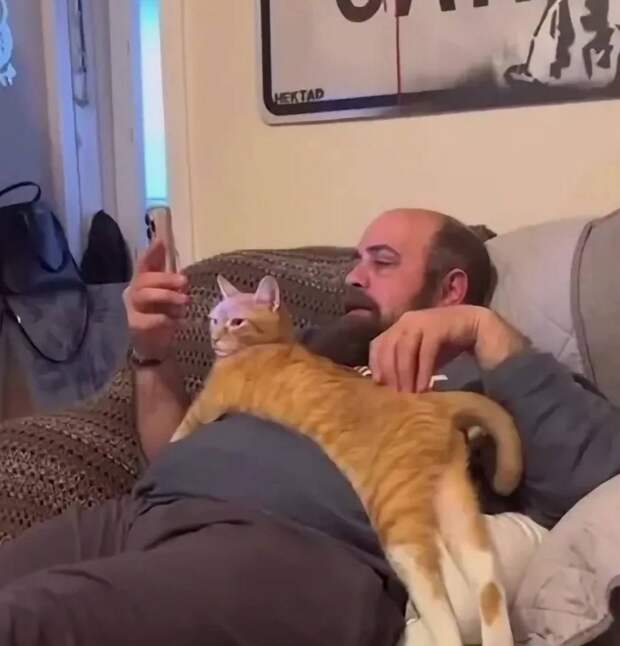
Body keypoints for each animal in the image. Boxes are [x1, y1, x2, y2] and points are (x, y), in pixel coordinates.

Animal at [171, 274, 521, 646]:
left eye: (236, 322)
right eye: (213, 319)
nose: (215, 337)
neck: (273, 344)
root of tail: (431, 402)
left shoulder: (204, 408)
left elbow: (176, 435)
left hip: (400, 529)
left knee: (442, 609)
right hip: (454, 503)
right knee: (488, 579)